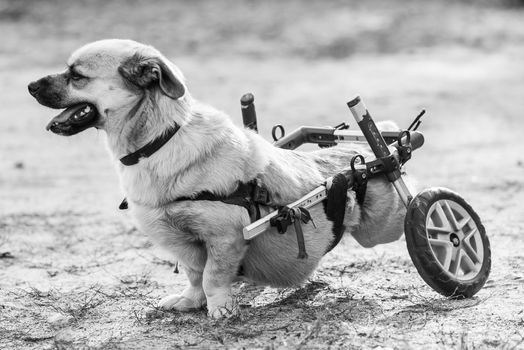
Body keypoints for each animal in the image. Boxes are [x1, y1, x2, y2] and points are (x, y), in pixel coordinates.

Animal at [26, 39, 408, 318]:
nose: (29, 85)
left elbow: (213, 277)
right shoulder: (183, 242)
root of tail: (361, 158)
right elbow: (195, 275)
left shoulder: (225, 238)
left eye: (76, 75)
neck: (160, 141)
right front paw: (191, 300)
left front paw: (220, 307)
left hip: (382, 227)